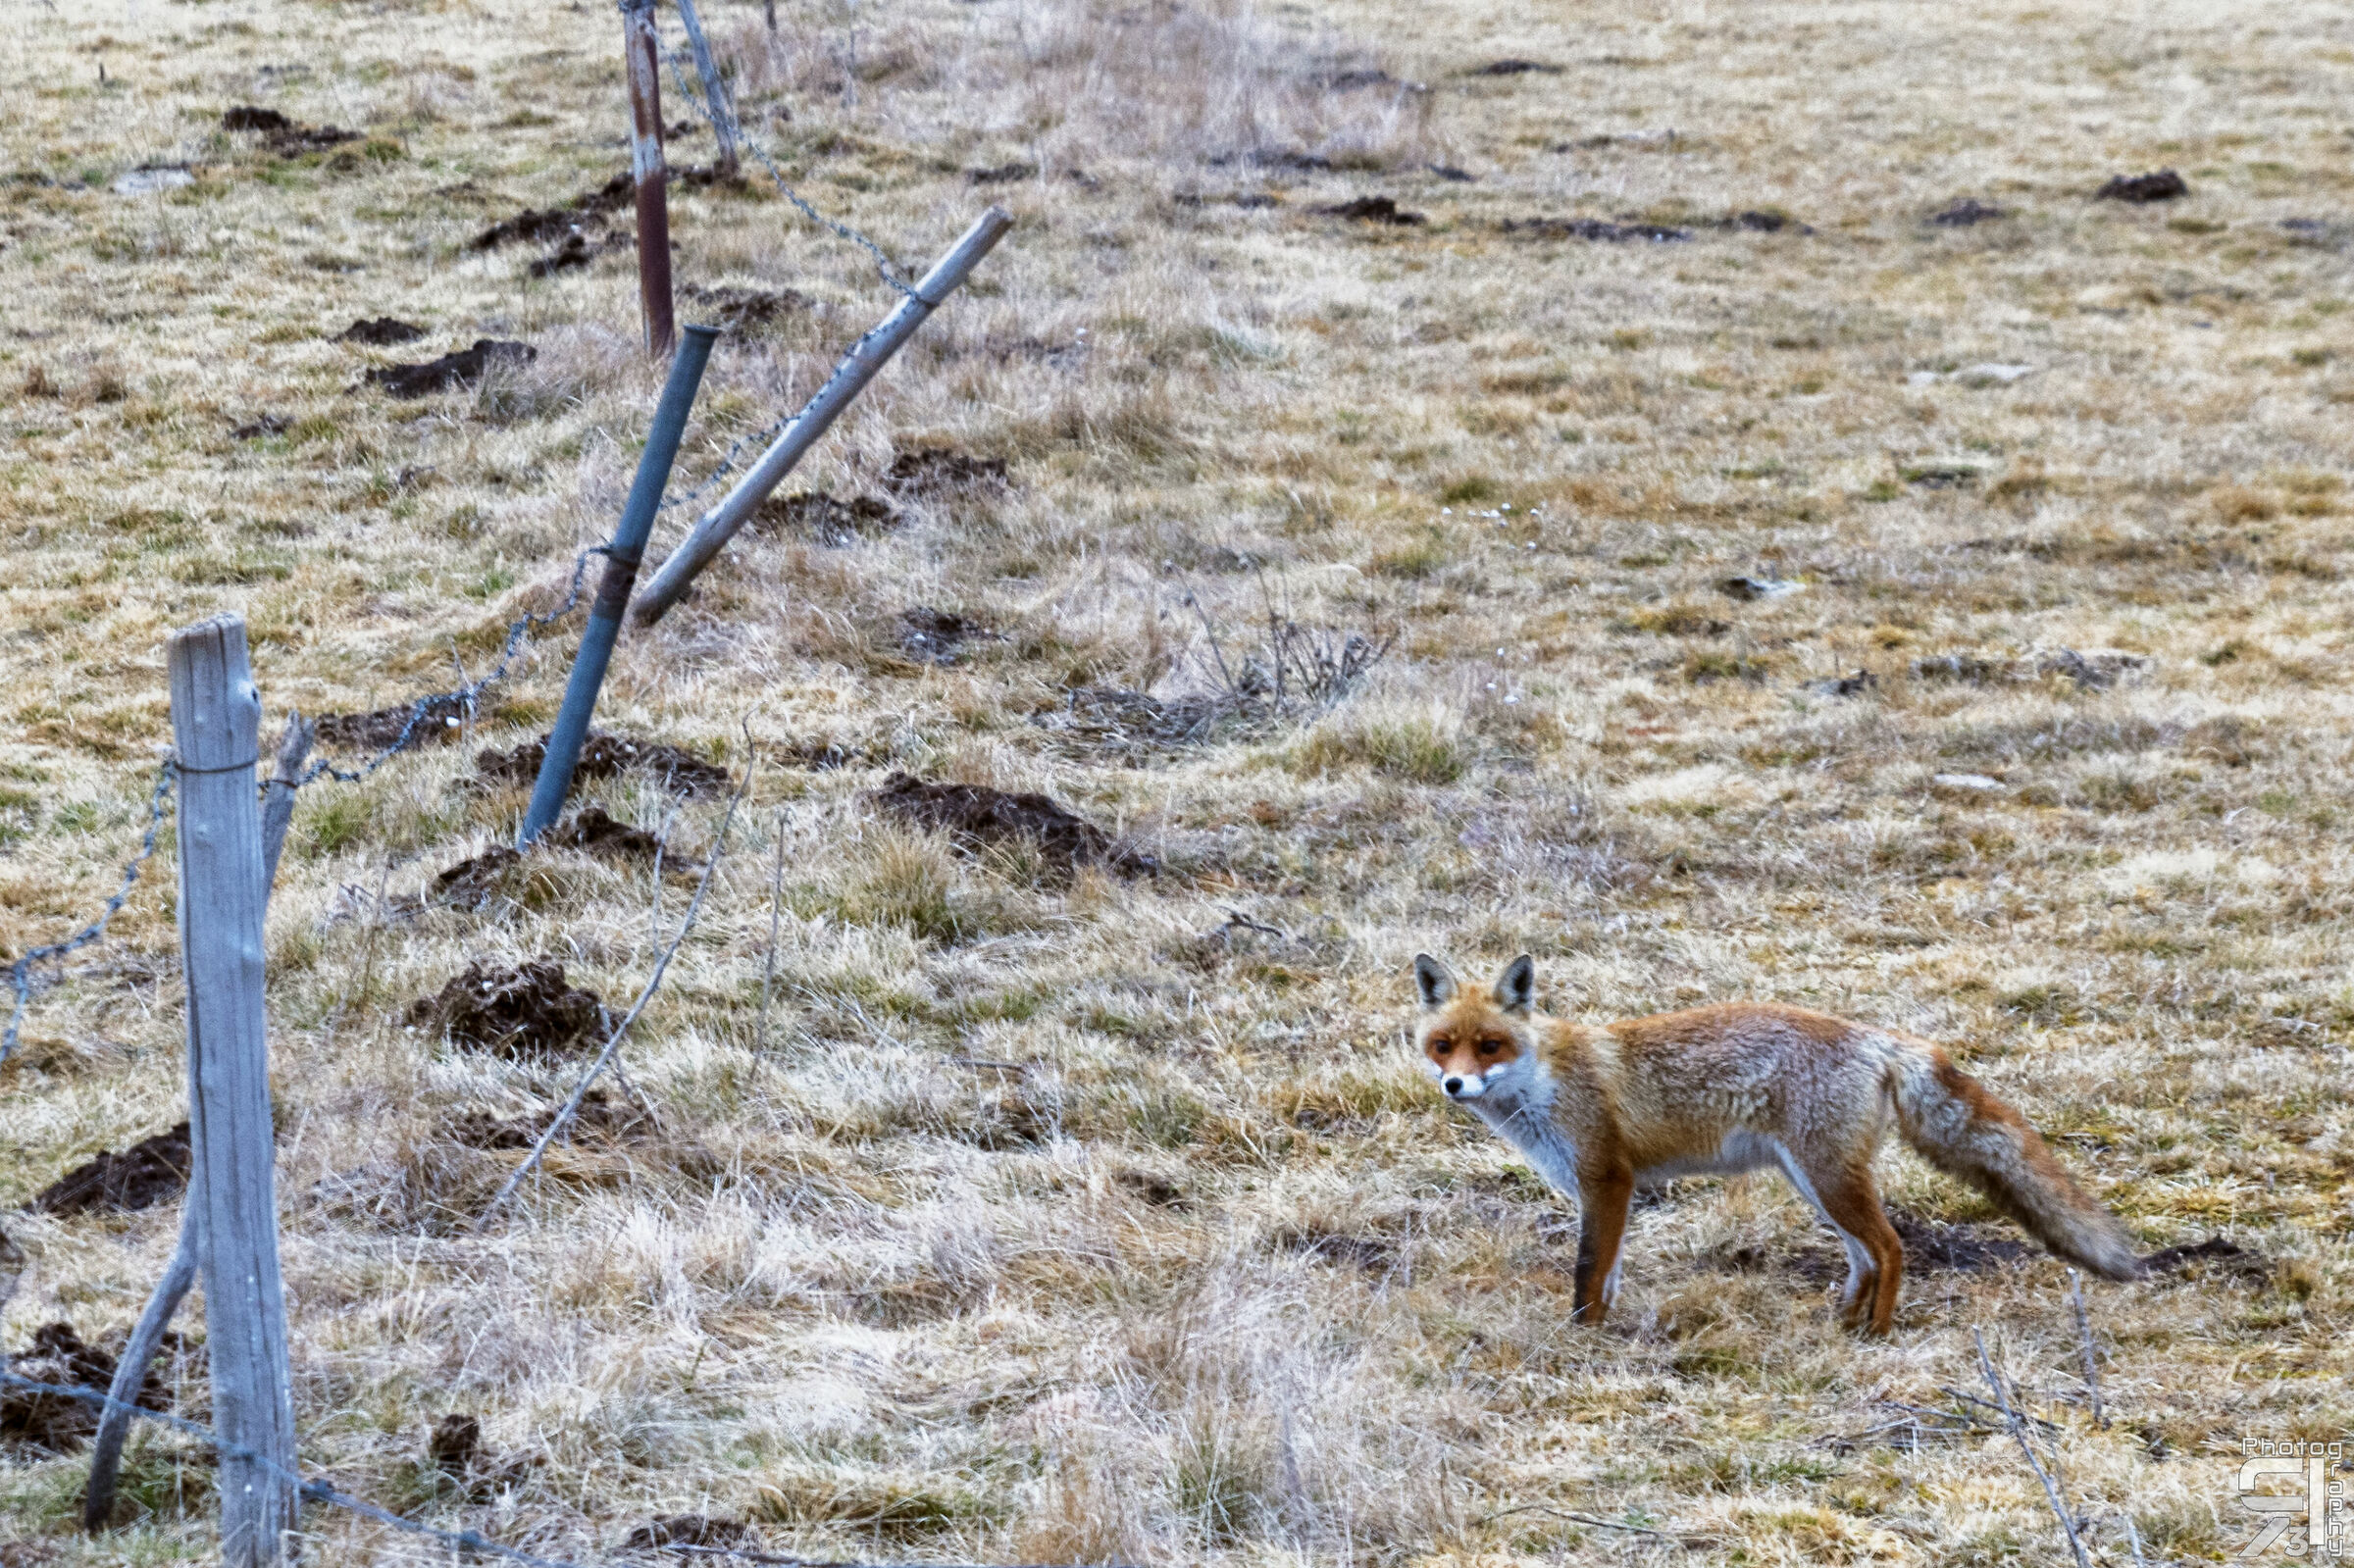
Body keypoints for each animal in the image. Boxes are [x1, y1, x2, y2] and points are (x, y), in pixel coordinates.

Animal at [1410, 953, 2142, 1334]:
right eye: (1444, 1044)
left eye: (1490, 1045)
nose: (1454, 1084)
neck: (1545, 1081)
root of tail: (1873, 1036)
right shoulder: (1607, 1189)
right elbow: (1607, 1274)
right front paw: (1598, 1330)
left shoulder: (1608, 1180)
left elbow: (1589, 1271)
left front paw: (1581, 1339)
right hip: (1813, 1181)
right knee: (1864, 1256)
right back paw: (1843, 1322)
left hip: (1827, 1178)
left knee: (1890, 1248)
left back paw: (1876, 1332)